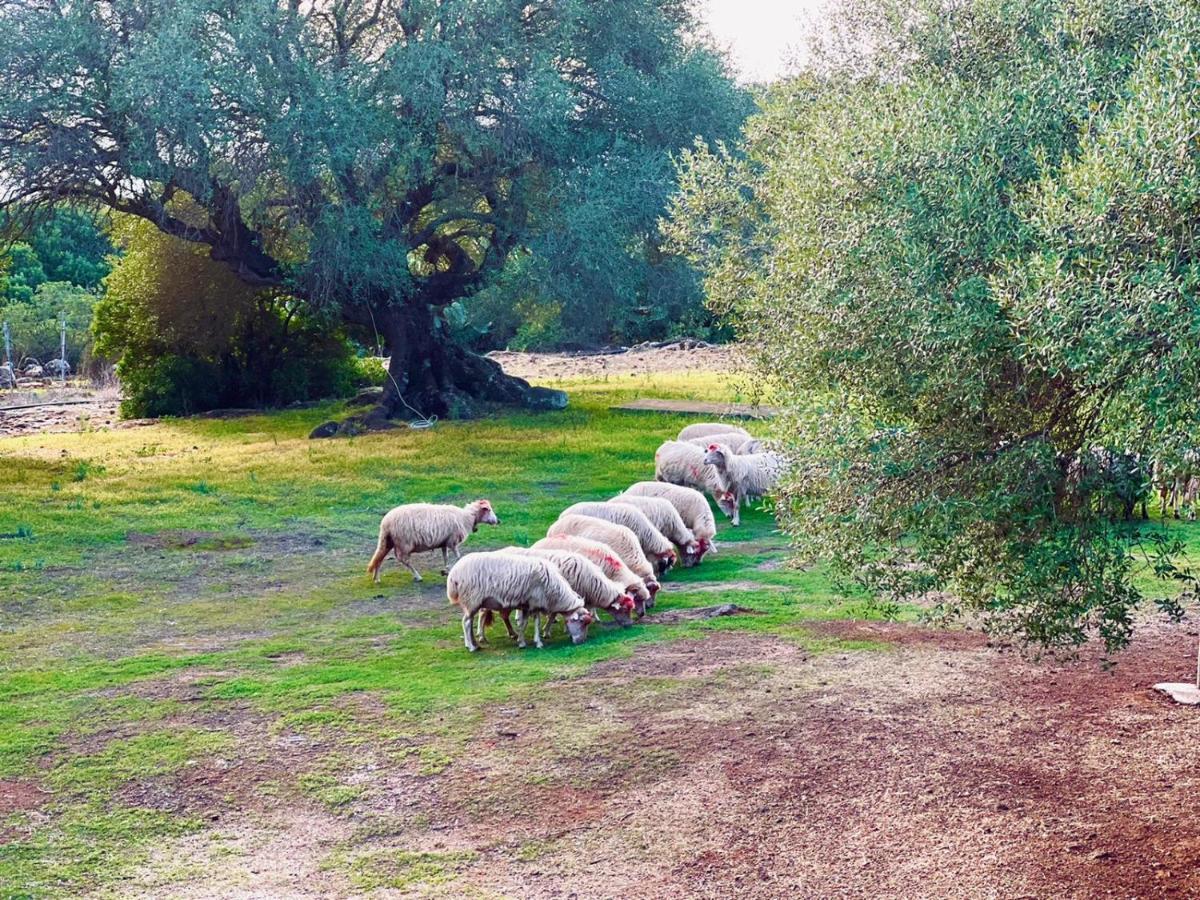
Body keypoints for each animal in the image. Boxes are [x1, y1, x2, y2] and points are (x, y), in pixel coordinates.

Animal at [362, 501, 499, 585]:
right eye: (489, 510)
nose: (498, 521)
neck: (467, 517)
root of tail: (386, 522)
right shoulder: (452, 541)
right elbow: (458, 557)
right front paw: (449, 570)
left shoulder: (444, 542)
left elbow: (445, 557)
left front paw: (446, 570)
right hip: (404, 543)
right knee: (403, 560)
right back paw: (417, 576)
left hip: (388, 541)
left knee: (379, 557)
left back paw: (376, 578)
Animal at [446, 554, 595, 652]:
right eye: (582, 622)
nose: (581, 642)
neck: (554, 591)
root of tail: (453, 574)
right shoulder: (534, 602)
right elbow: (534, 622)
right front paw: (538, 642)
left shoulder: (526, 604)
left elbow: (525, 623)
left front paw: (522, 642)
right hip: (471, 600)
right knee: (466, 622)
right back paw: (471, 647)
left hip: (472, 602)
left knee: (470, 622)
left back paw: (475, 643)